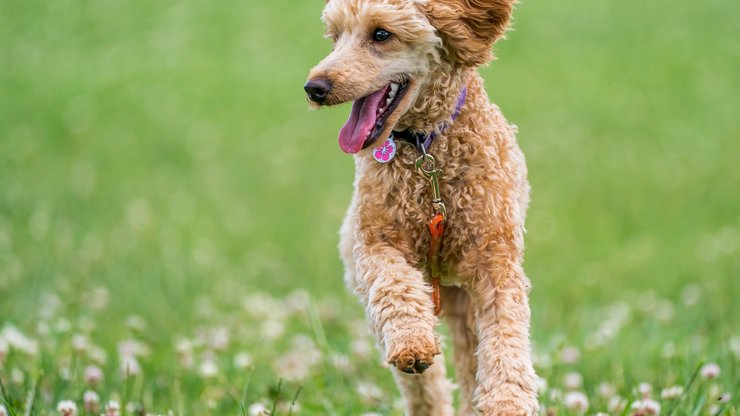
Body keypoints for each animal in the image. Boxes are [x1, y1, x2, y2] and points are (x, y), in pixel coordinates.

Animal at [304, 0, 540, 412]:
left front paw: (507, 400)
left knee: (470, 358)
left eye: (381, 34)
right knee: (425, 387)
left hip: (463, 300)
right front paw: (412, 343)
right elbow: (395, 287)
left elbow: (506, 331)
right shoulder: (374, 244)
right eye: (335, 37)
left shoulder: (495, 258)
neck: (425, 151)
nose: (314, 87)